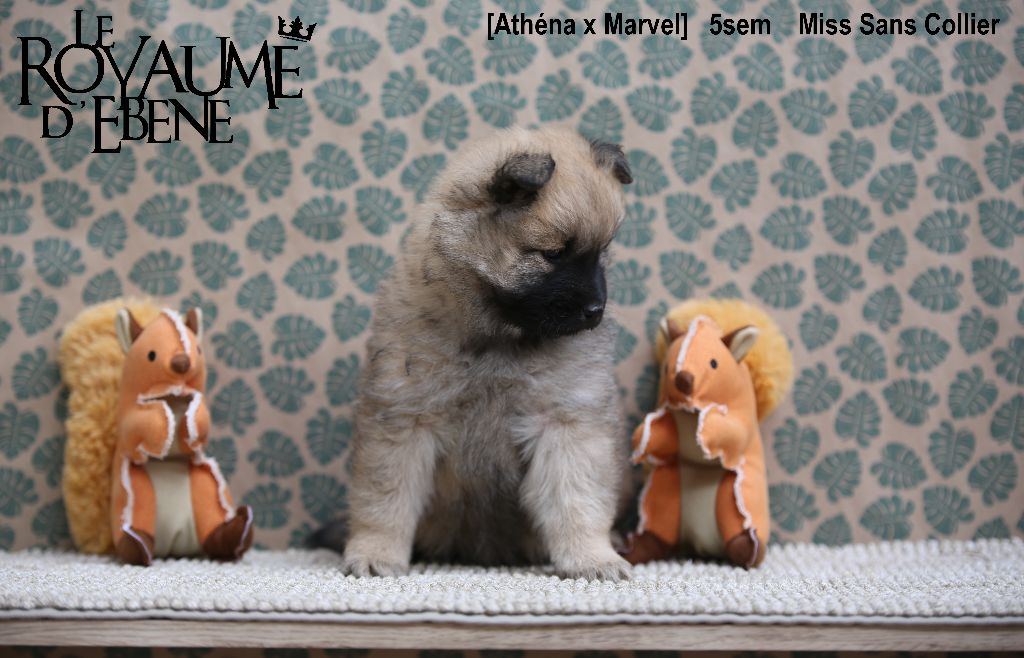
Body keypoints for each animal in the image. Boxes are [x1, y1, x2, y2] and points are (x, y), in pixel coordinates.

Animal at [314, 126, 634, 579]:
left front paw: (592, 556)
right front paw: (376, 551)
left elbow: (577, 496)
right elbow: (386, 497)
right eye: (553, 254)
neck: (499, 336)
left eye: (603, 252)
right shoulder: (404, 420)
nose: (595, 311)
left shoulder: (565, 422)